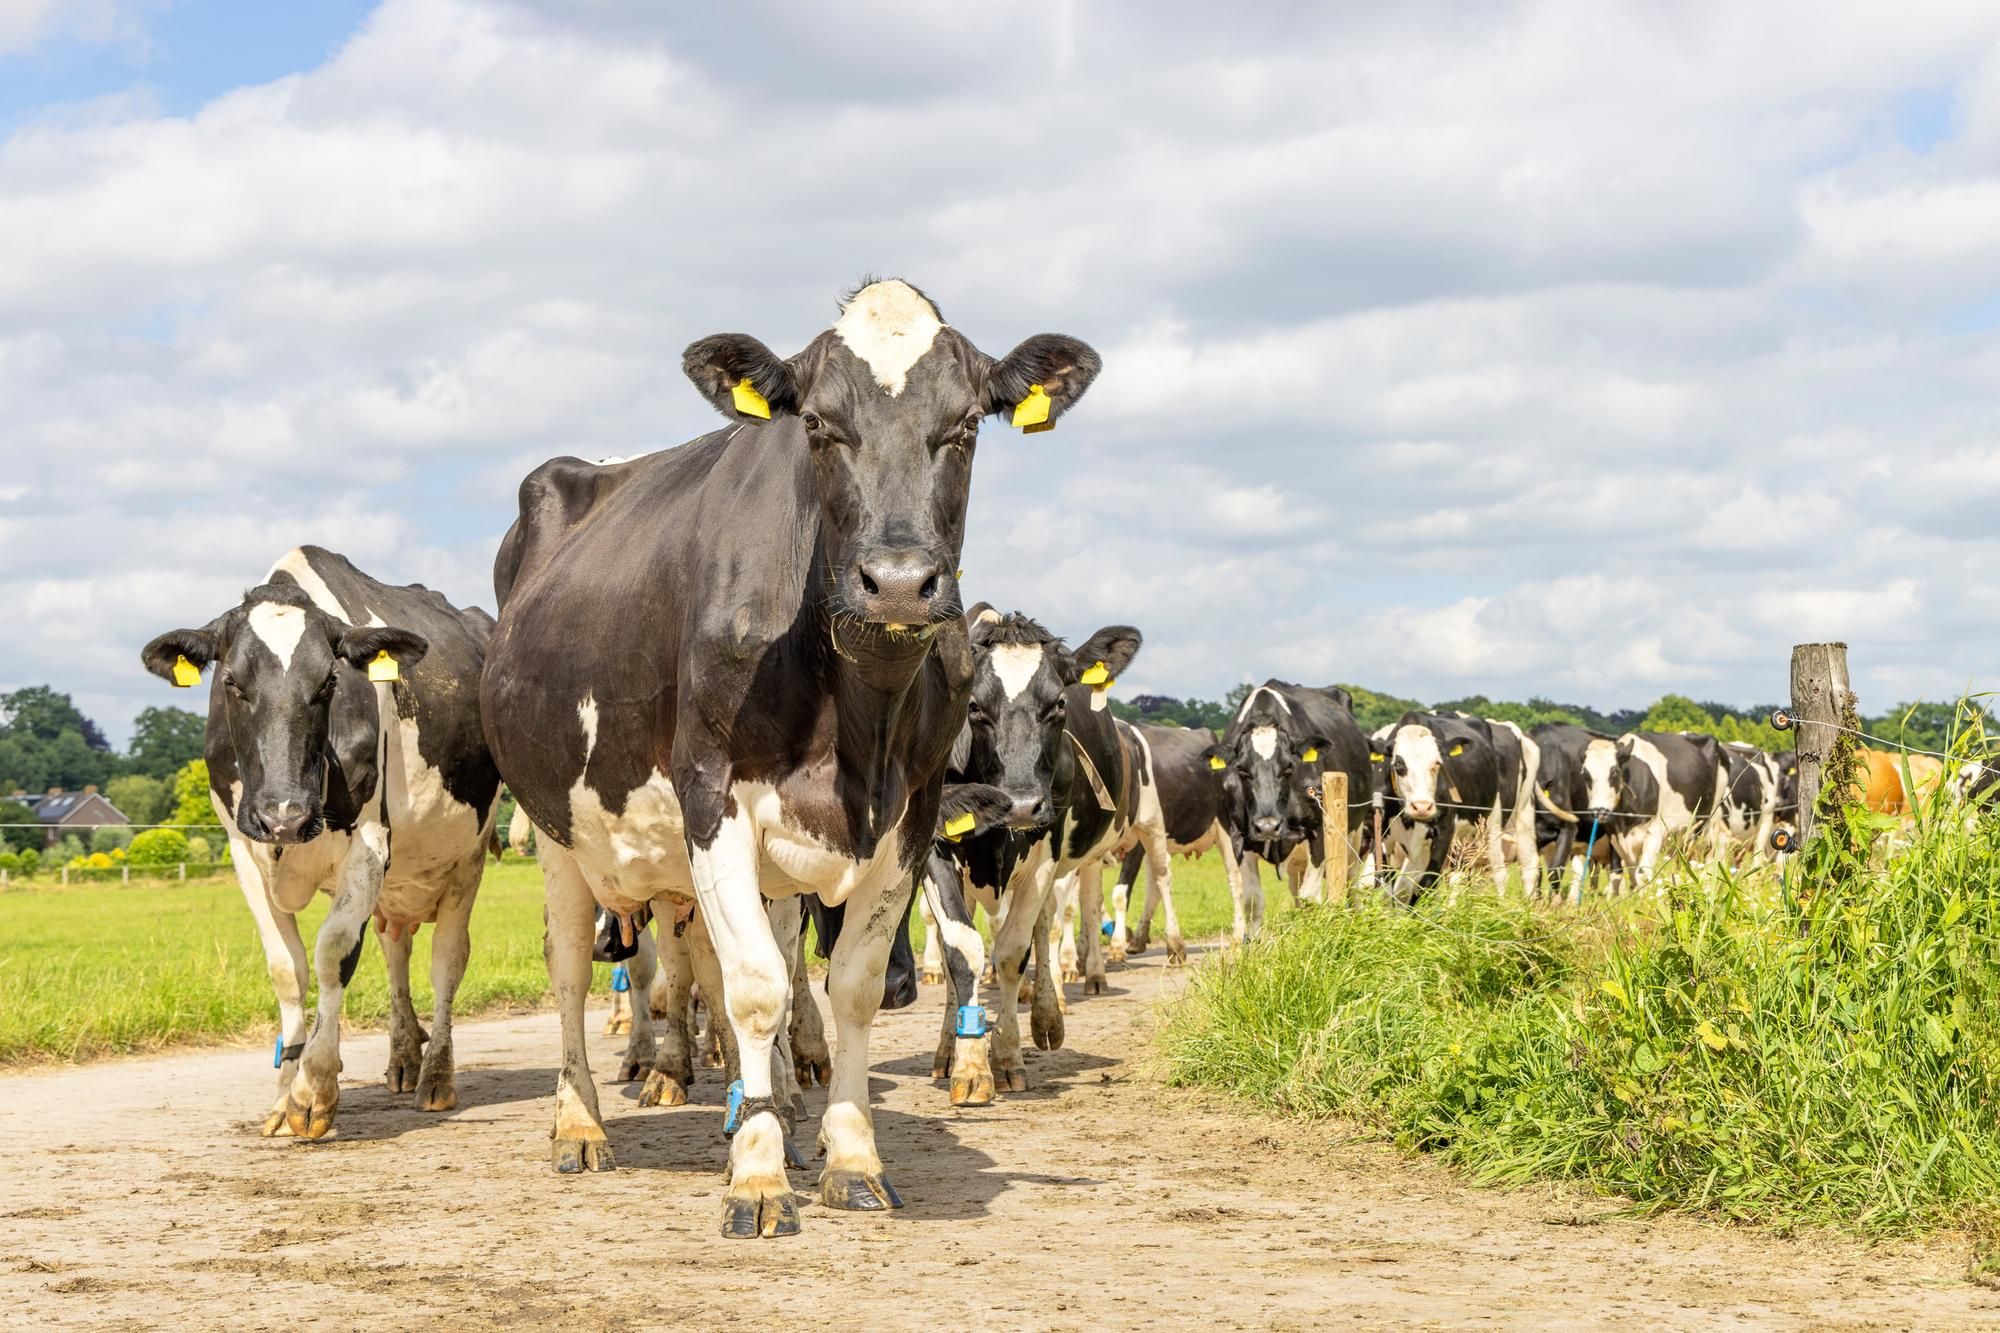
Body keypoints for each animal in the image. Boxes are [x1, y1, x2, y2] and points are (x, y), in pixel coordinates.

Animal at [139, 544, 500, 1136]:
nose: (283, 814)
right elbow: (287, 969)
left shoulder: (371, 846)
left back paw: (435, 1076)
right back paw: (404, 1057)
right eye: (231, 682)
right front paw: (282, 1094)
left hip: (468, 856)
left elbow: (334, 954)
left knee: (447, 958)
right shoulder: (243, 851)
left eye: (329, 681)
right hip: (398, 885)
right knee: (395, 947)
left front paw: (314, 1091)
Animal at [486, 280, 1112, 1232]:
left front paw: (847, 1154)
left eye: (967, 423)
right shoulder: (711, 798)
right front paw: (757, 1174)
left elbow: (847, 983)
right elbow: (751, 985)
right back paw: (581, 1123)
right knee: (568, 971)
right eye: (816, 424)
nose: (898, 581)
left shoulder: (911, 819)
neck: (856, 719)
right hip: (557, 825)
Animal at [1200, 680, 1376, 928]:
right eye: (1242, 770)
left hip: (1355, 832)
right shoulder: (1238, 836)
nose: (1267, 826)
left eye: (1288, 768)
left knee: (1351, 881)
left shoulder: (1319, 831)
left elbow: (1311, 898)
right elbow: (1252, 900)